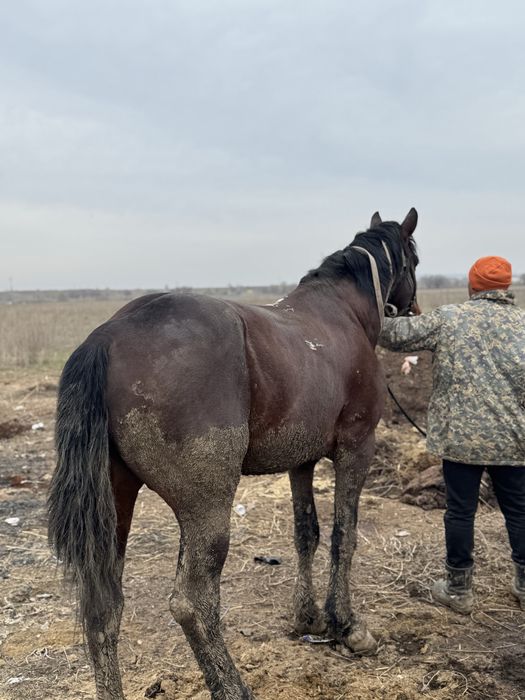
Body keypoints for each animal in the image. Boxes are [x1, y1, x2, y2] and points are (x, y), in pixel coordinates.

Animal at [48, 208, 419, 700]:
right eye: (415, 259)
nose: (414, 309)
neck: (342, 315)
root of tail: (106, 337)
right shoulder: (357, 448)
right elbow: (345, 534)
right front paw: (345, 624)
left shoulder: (301, 462)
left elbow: (307, 534)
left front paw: (308, 617)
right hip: (206, 507)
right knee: (192, 603)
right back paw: (231, 686)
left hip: (115, 502)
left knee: (102, 607)